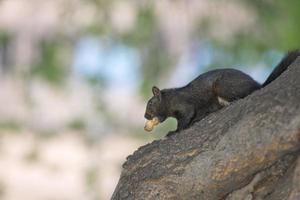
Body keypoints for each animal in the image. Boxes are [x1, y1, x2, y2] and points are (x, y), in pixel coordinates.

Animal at [143, 49, 300, 136]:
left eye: (150, 103)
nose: (145, 116)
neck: (169, 100)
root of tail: (257, 83)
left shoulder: (183, 104)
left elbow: (186, 117)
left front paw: (174, 132)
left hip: (223, 86)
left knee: (248, 92)